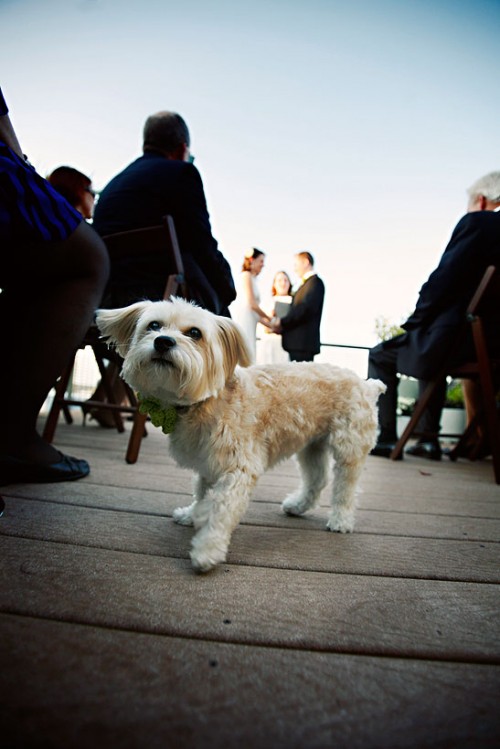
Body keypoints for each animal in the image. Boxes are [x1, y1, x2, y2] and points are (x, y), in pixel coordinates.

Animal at [95, 298, 384, 572]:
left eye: (195, 333)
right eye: (153, 325)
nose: (163, 341)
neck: (207, 402)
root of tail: (367, 385)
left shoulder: (239, 469)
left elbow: (219, 509)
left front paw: (207, 548)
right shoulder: (207, 465)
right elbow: (201, 493)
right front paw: (191, 514)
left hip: (348, 449)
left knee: (345, 488)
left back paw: (341, 520)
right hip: (312, 446)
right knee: (318, 478)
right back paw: (298, 505)